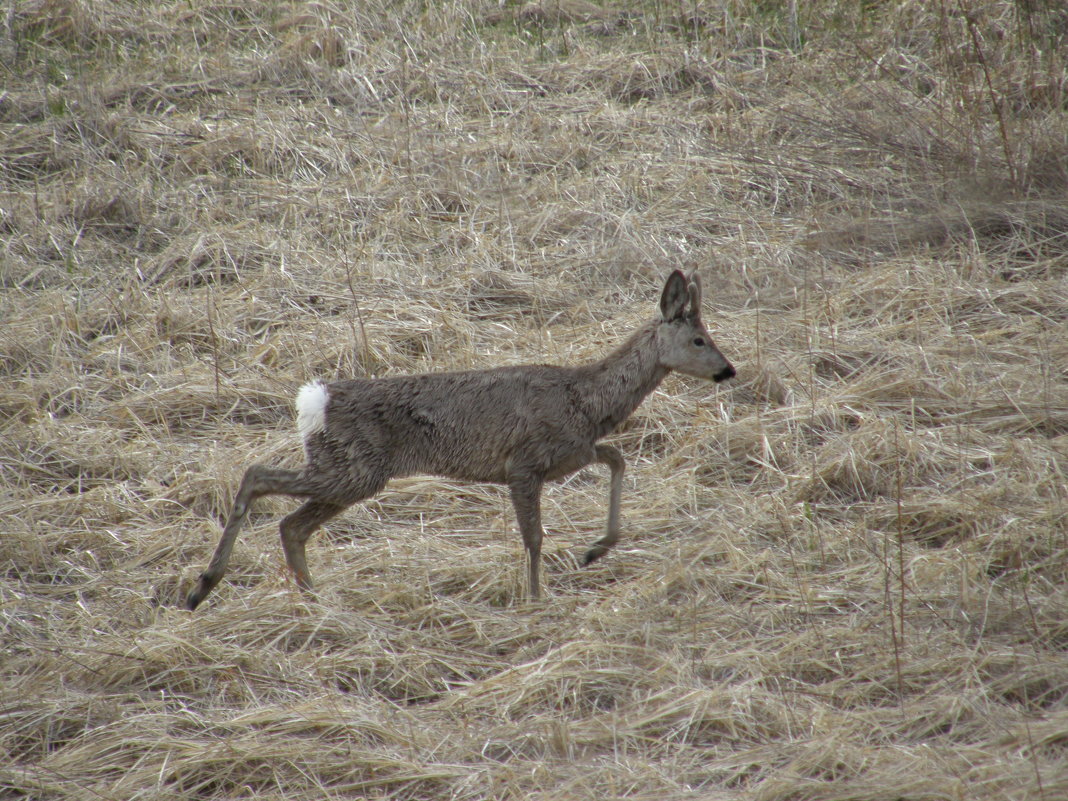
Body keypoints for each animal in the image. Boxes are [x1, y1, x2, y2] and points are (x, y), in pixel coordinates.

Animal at [183, 270, 734, 606]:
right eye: (699, 339)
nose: (728, 370)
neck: (587, 400)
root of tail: (313, 400)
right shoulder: (523, 464)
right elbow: (534, 536)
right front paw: (536, 599)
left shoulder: (572, 453)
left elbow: (618, 458)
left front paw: (597, 549)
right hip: (353, 469)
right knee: (257, 477)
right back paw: (202, 587)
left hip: (347, 473)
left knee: (292, 526)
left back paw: (312, 598)